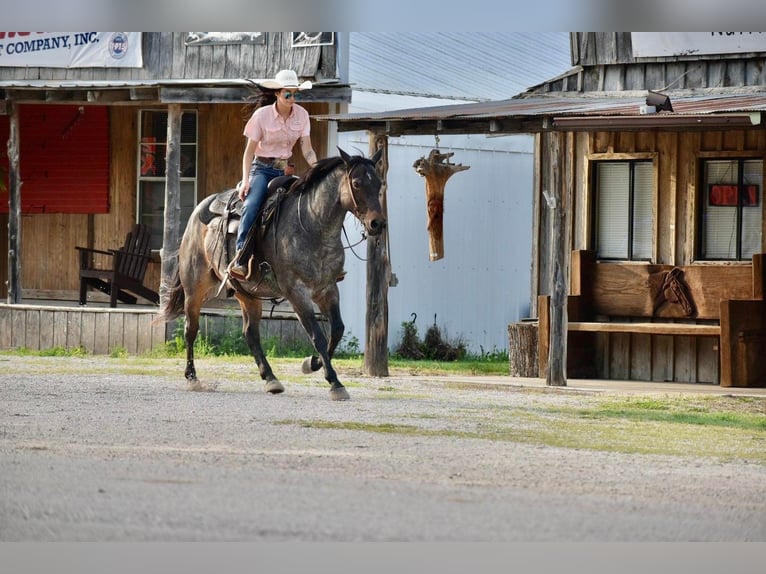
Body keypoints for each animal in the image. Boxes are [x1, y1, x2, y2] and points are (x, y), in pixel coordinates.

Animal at [156, 147, 388, 400]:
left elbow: (337, 330)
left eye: (379, 183)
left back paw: (270, 379)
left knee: (250, 333)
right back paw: (192, 378)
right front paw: (335, 382)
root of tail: (198, 213)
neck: (312, 225)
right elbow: (317, 335)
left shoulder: (327, 289)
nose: (377, 223)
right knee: (191, 329)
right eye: (356, 183)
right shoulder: (297, 292)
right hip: (195, 289)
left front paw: (312, 363)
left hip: (248, 294)